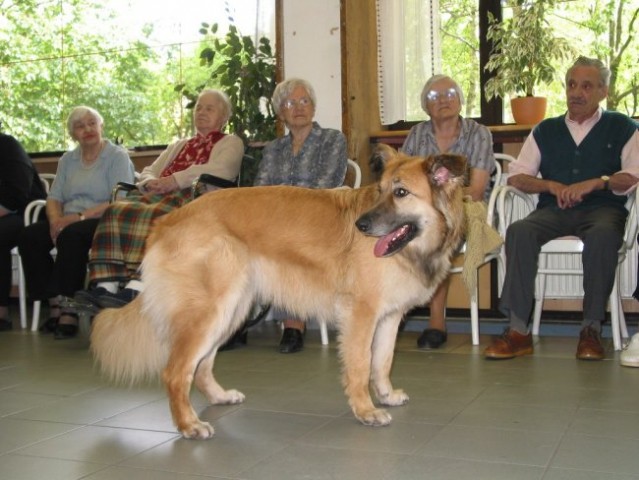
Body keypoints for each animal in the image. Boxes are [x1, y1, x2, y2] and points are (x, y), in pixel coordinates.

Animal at [90, 145, 464, 438]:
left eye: (401, 193)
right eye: (382, 189)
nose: (362, 225)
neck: (413, 249)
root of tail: (166, 222)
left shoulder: (389, 317)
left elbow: (382, 362)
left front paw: (384, 395)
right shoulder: (361, 316)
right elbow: (360, 366)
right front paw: (365, 410)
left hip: (231, 311)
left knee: (202, 366)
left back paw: (218, 397)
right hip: (210, 312)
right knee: (176, 371)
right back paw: (188, 425)